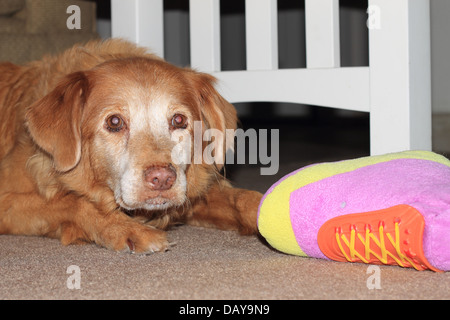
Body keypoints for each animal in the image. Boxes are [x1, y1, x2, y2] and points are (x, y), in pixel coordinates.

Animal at [0, 38, 262, 254]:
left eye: (179, 120)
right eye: (114, 122)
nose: (162, 179)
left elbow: (244, 198)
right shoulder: (8, 201)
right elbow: (74, 202)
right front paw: (129, 230)